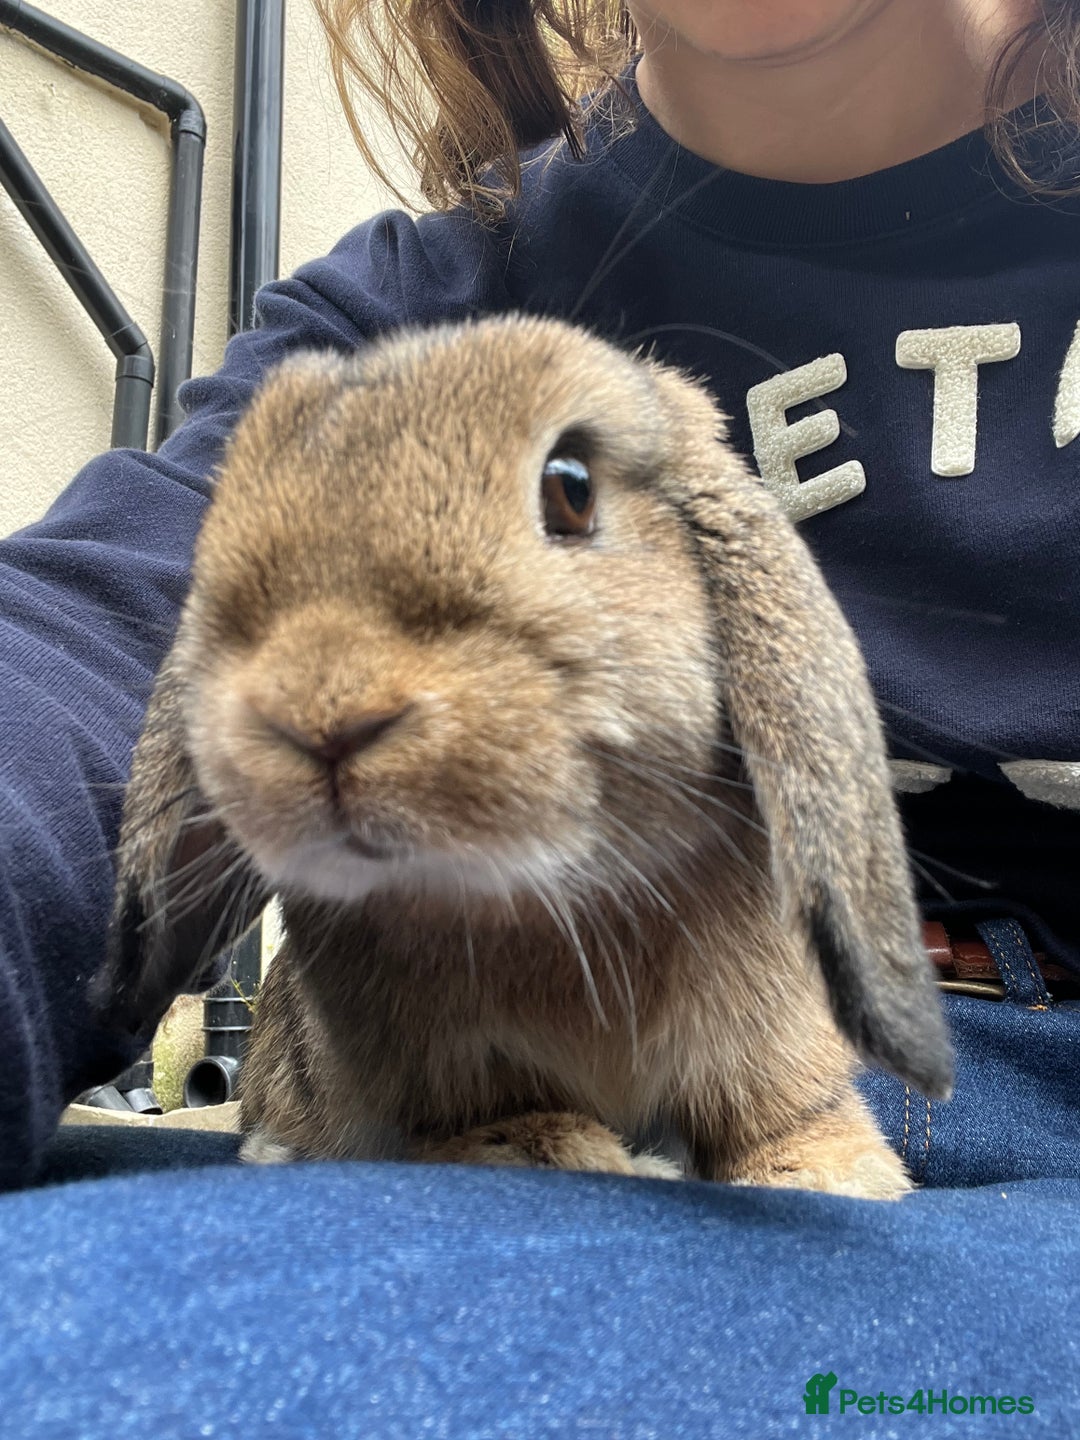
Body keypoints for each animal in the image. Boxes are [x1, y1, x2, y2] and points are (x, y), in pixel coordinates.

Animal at [94, 314, 953, 1199]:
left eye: (570, 487)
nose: (318, 710)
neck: (559, 895)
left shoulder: (765, 1035)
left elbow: (772, 1106)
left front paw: (826, 1171)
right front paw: (545, 1149)